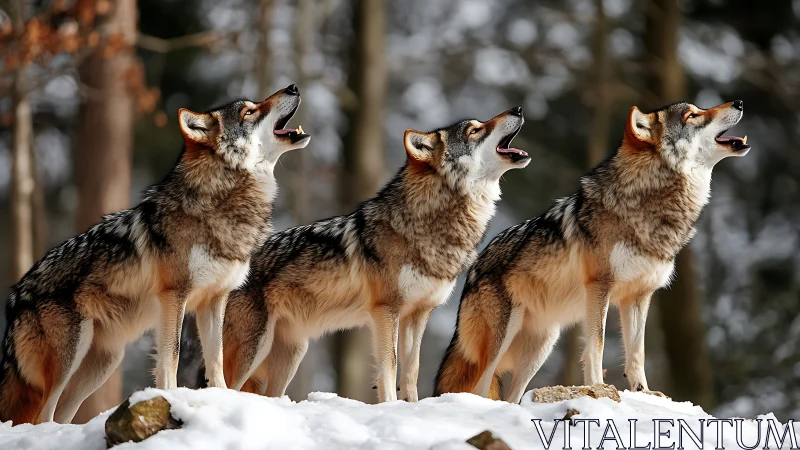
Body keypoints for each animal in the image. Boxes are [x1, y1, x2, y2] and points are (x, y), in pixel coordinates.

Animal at [0, 85, 310, 424]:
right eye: (249, 112)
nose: (293, 87)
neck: (221, 202)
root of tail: (15, 294)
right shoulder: (174, 297)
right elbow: (170, 357)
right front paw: (171, 398)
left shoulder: (214, 300)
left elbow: (215, 360)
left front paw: (221, 398)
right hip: (70, 356)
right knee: (43, 415)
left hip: (102, 364)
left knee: (61, 415)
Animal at [220, 107, 530, 403]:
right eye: (474, 130)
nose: (517, 109)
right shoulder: (386, 310)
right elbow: (389, 367)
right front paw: (390, 404)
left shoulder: (417, 314)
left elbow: (412, 370)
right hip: (254, 350)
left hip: (291, 355)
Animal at [435, 101, 750, 403]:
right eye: (692, 115)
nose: (739, 102)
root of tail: (474, 267)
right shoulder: (600, 286)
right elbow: (596, 344)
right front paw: (597, 386)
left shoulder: (639, 295)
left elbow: (637, 352)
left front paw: (644, 393)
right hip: (503, 338)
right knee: (479, 387)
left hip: (541, 348)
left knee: (513, 397)